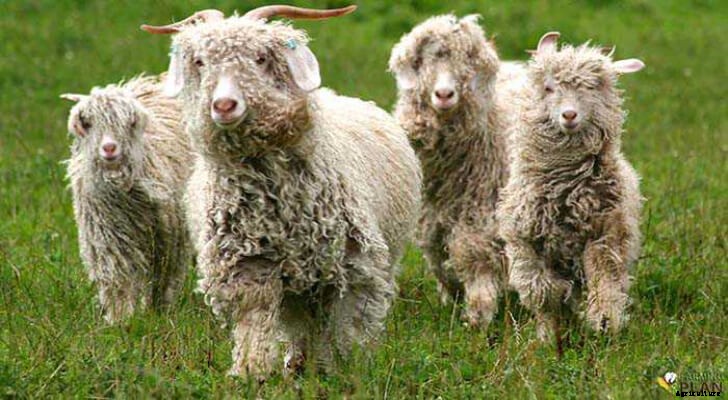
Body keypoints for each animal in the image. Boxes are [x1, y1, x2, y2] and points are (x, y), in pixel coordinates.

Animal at [61, 75, 193, 323]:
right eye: (87, 123)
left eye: (128, 123)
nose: (109, 148)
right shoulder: (108, 235)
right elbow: (117, 276)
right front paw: (120, 318)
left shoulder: (168, 235)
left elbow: (165, 275)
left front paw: (160, 311)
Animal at [141, 5, 421, 379]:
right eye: (200, 62)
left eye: (260, 58)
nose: (224, 105)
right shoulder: (248, 264)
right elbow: (255, 318)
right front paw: (251, 372)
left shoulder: (353, 264)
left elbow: (345, 323)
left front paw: (342, 367)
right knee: (301, 318)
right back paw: (298, 360)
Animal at [388, 14, 523, 330]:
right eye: (421, 61)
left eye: (467, 60)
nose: (444, 94)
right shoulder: (431, 218)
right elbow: (439, 259)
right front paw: (452, 299)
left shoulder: (479, 212)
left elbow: (473, 254)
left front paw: (478, 316)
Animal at [496, 32, 645, 339]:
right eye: (549, 88)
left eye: (592, 87)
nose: (569, 115)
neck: (563, 192)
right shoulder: (524, 242)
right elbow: (540, 291)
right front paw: (547, 332)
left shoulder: (604, 236)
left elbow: (604, 280)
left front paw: (604, 322)